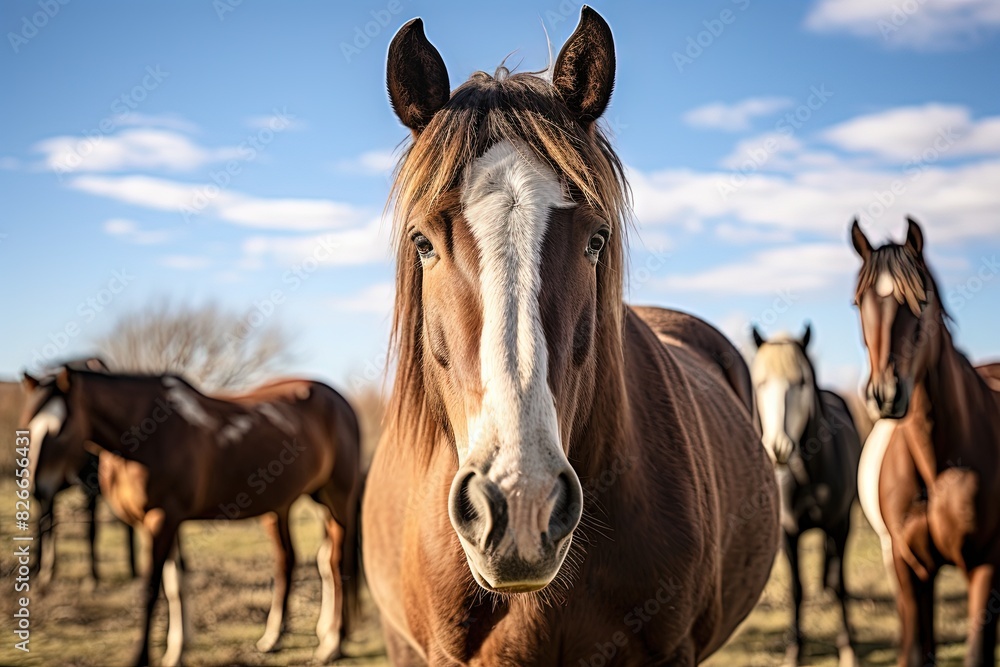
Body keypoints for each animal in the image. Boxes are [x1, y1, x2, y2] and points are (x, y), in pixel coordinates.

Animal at [21, 367, 362, 666]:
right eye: (29, 427)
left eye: (59, 429)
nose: (37, 489)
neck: (148, 435)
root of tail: (341, 403)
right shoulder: (154, 523)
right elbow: (174, 584)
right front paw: (175, 652)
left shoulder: (163, 519)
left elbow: (150, 589)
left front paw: (142, 658)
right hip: (298, 503)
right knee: (310, 560)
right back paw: (286, 637)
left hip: (337, 498)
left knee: (336, 563)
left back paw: (332, 643)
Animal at [750, 325, 862, 667]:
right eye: (760, 383)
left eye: (800, 382)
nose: (778, 446)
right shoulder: (788, 532)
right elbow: (797, 589)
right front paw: (794, 651)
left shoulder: (839, 526)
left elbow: (841, 584)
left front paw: (847, 648)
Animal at [851, 217, 1000, 666]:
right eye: (858, 302)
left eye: (922, 300)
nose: (884, 395)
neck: (937, 466)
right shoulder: (909, 566)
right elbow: (916, 653)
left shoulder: (986, 565)